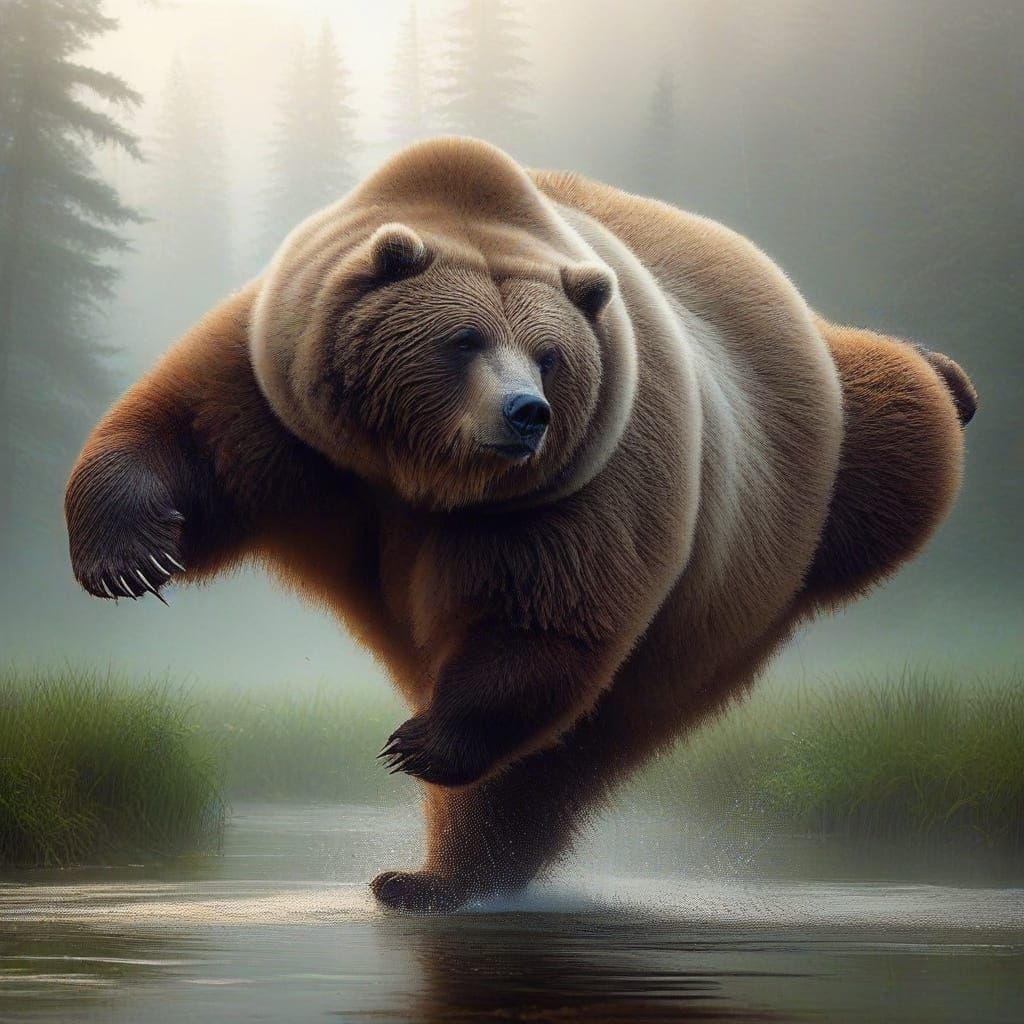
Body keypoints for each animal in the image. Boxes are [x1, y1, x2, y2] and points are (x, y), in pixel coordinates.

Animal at [65, 136, 976, 912]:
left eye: (549, 355)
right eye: (464, 339)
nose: (525, 414)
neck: (420, 472)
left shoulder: (585, 480)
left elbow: (542, 614)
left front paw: (419, 742)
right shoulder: (288, 394)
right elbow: (192, 441)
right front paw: (128, 559)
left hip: (797, 486)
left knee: (902, 435)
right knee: (539, 782)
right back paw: (426, 880)